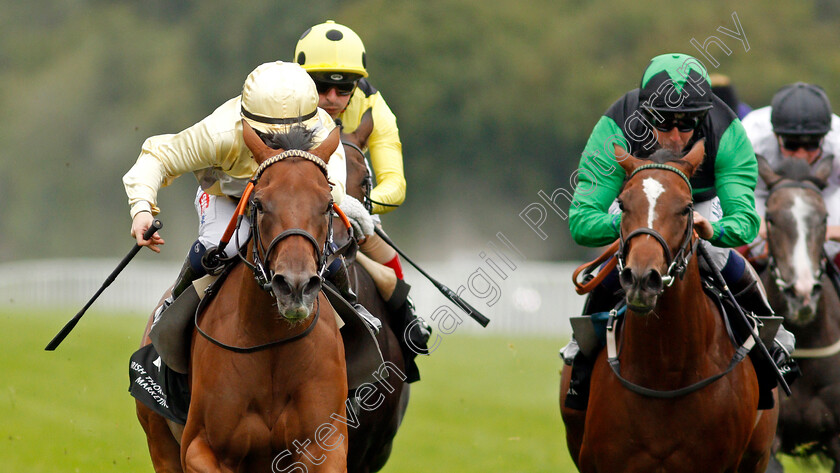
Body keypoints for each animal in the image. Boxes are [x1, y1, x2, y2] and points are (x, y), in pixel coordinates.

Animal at [135, 122, 348, 472]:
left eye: (328, 204)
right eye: (259, 203)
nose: (295, 285)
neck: (271, 344)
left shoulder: (326, 445)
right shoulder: (200, 446)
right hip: (159, 439)